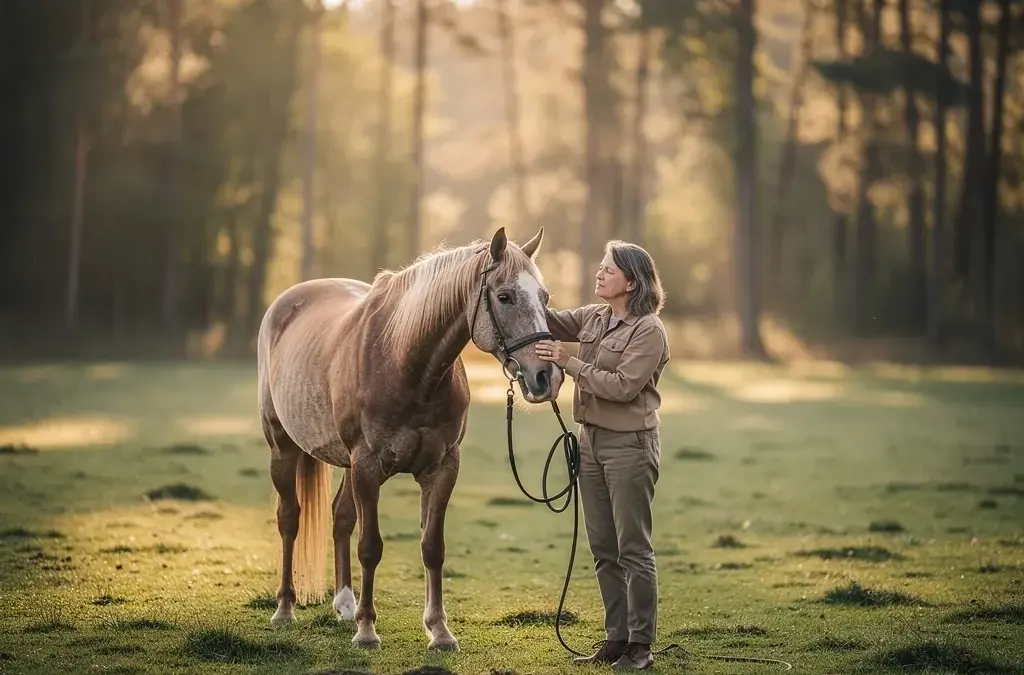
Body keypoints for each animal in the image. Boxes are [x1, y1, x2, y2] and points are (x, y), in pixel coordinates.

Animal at [256, 226, 563, 651]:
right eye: (504, 296)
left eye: (544, 297)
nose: (546, 377)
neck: (405, 361)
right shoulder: (368, 466)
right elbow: (370, 548)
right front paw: (368, 630)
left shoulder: (442, 467)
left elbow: (432, 547)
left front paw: (440, 631)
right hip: (283, 448)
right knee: (290, 520)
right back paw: (285, 609)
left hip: (346, 465)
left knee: (340, 518)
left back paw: (345, 603)